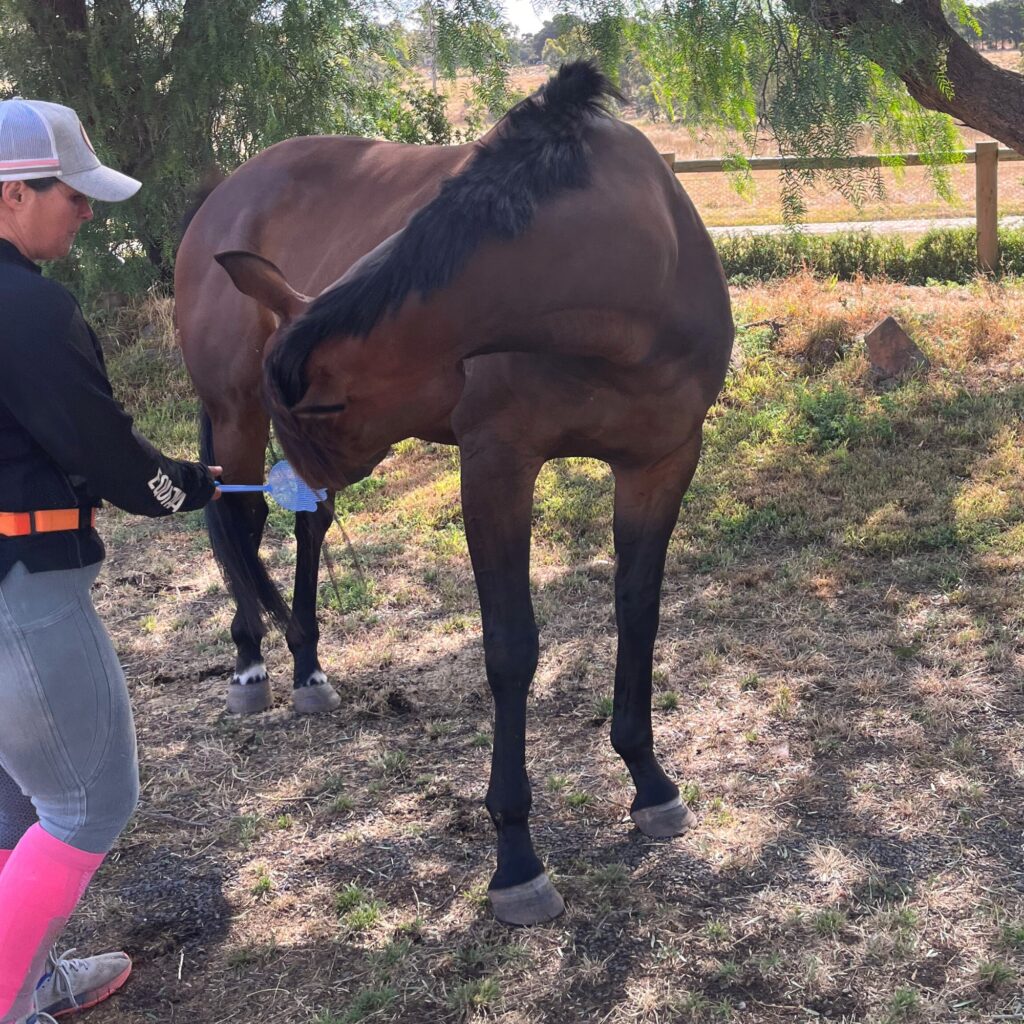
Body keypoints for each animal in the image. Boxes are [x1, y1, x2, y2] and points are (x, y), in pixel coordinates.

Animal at [178, 66, 737, 929]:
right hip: (233, 415)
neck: (636, 266)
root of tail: (224, 193)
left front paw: (651, 784)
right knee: (241, 521)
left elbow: (637, 615)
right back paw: (251, 665)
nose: (302, 469)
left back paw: (306, 666)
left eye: (321, 408)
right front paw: (517, 857)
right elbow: (511, 648)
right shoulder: (496, 465)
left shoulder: (663, 462)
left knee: (297, 530)